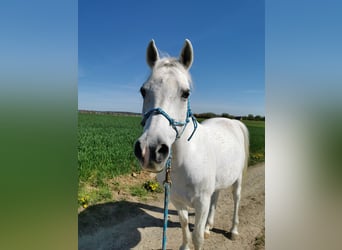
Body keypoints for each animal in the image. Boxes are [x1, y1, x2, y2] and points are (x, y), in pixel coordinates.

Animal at [134, 39, 248, 250]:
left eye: (186, 93)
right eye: (143, 91)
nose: (150, 150)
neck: (185, 160)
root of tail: (232, 122)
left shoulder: (201, 203)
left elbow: (197, 238)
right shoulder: (177, 200)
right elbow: (185, 226)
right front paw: (186, 244)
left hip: (237, 179)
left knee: (236, 199)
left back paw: (234, 231)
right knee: (216, 197)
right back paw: (209, 226)